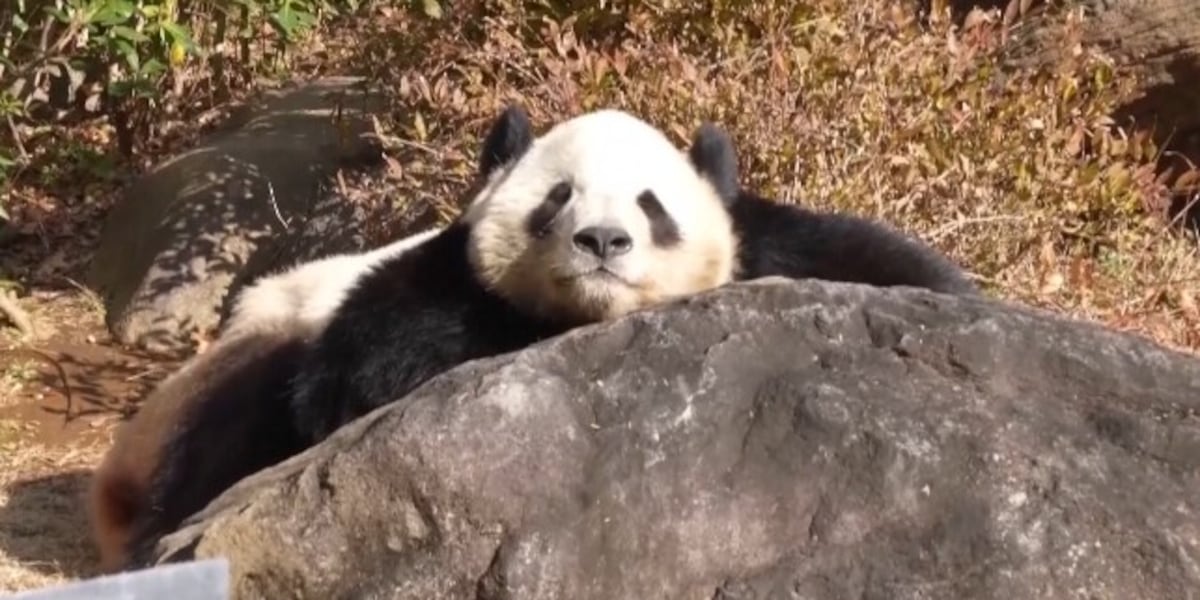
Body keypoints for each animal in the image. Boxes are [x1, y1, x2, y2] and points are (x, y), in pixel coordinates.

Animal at [123, 104, 975, 569]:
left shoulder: (770, 246)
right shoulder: (437, 290)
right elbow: (358, 379)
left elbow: (887, 267)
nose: (602, 241)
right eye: (559, 196)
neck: (584, 318)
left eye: (651, 204)